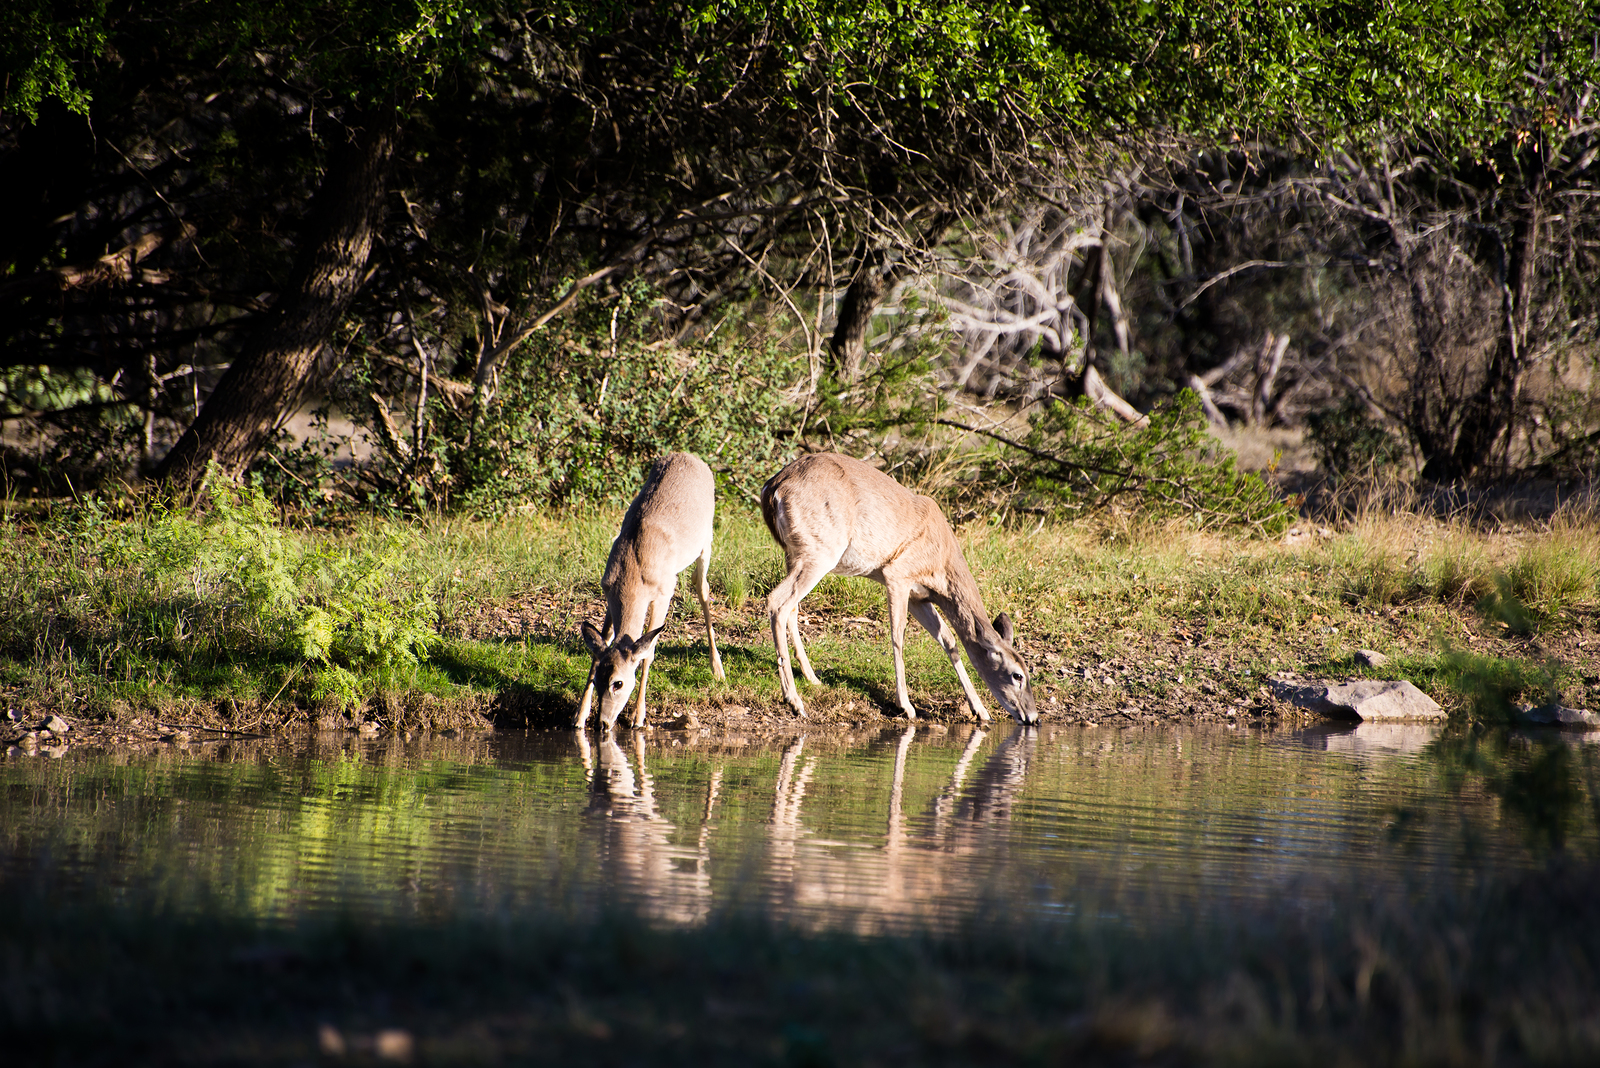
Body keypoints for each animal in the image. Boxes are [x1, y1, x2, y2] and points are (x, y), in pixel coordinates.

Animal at [576, 450, 726, 735]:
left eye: (618, 683)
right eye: (599, 680)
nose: (603, 723)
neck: (633, 573)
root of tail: (691, 456)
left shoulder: (664, 593)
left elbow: (648, 652)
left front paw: (638, 717)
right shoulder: (608, 590)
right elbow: (603, 640)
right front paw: (579, 717)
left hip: (707, 541)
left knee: (702, 588)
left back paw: (717, 669)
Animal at [761, 450, 1036, 725]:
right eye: (1017, 675)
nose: (1032, 717)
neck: (942, 564)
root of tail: (773, 487)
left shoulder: (918, 596)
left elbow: (947, 639)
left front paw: (980, 709)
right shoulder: (897, 574)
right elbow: (898, 634)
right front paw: (906, 705)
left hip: (794, 553)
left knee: (792, 608)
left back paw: (812, 678)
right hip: (820, 550)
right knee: (777, 601)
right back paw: (794, 700)